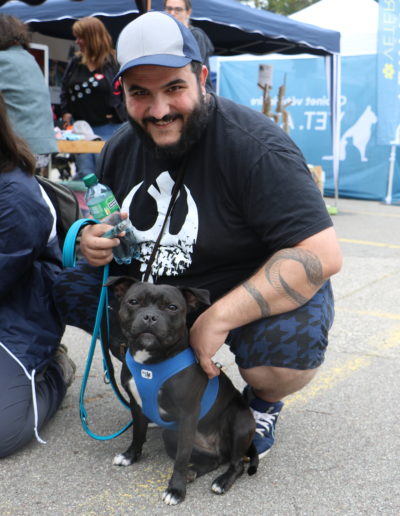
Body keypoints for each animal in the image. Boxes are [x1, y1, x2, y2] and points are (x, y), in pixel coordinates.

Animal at [106, 277, 258, 505]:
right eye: (133, 302)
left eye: (172, 307)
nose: (150, 317)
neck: (150, 363)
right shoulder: (137, 405)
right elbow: (138, 433)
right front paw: (130, 456)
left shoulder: (187, 416)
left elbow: (181, 459)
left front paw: (176, 490)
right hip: (171, 434)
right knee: (216, 459)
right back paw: (193, 472)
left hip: (240, 422)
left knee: (237, 463)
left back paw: (221, 481)